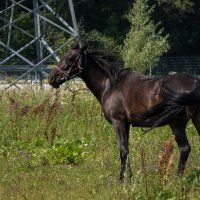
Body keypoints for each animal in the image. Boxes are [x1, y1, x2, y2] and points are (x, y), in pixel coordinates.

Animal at [48, 42, 200, 181]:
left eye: (70, 58)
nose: (51, 79)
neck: (110, 86)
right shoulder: (126, 124)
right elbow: (127, 149)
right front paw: (129, 176)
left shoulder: (118, 122)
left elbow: (123, 150)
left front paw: (121, 179)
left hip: (176, 124)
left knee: (184, 148)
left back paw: (177, 179)